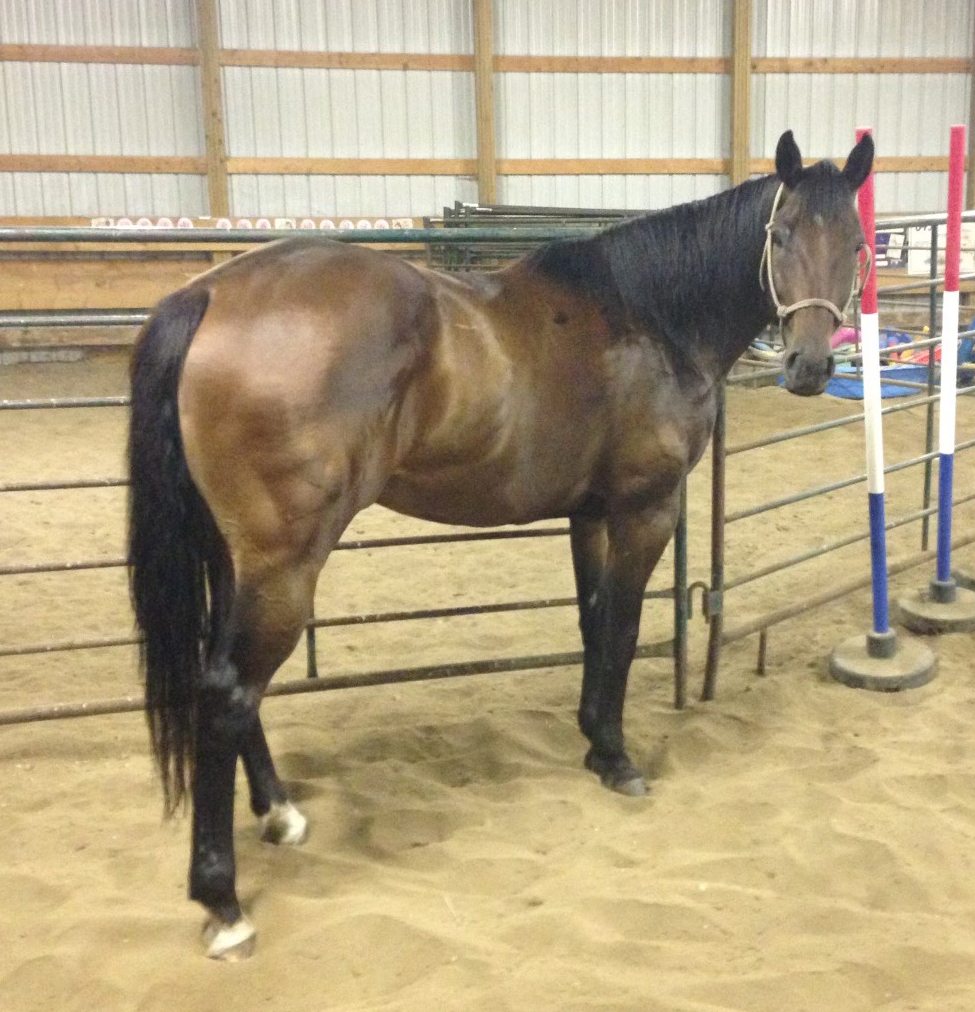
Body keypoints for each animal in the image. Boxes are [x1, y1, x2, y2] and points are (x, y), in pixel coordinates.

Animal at [127, 130, 873, 959]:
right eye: (780, 235)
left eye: (855, 244)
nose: (810, 367)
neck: (651, 318)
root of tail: (211, 295)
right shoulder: (644, 510)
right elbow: (621, 628)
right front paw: (619, 759)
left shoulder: (589, 514)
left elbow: (592, 625)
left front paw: (593, 743)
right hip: (284, 563)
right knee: (228, 690)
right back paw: (222, 901)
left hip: (243, 561)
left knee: (230, 682)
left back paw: (279, 812)